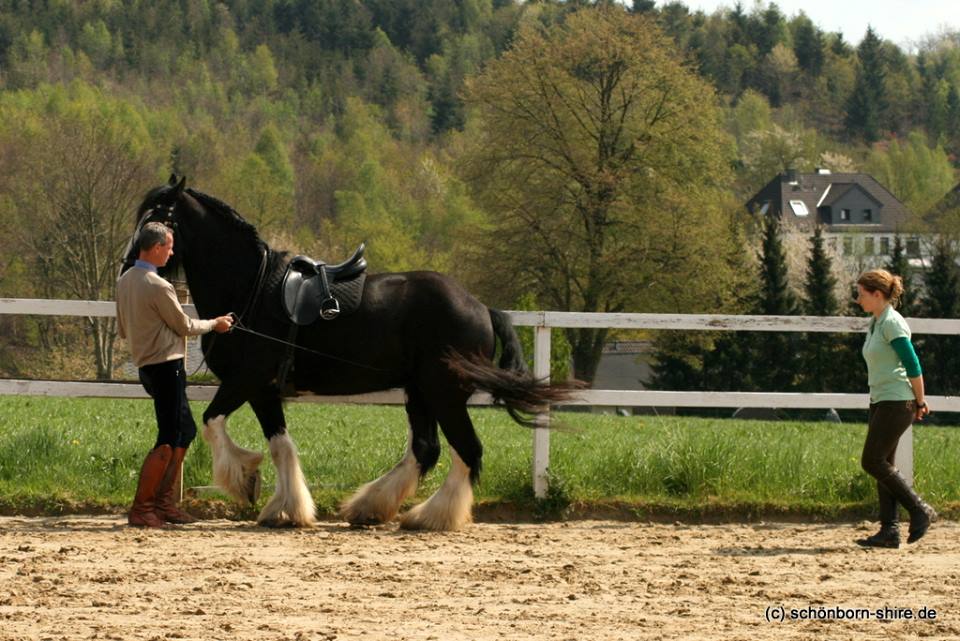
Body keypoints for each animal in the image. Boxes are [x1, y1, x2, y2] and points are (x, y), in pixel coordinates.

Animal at [128, 176, 572, 528]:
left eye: (157, 218)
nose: (130, 262)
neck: (250, 288)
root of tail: (480, 307)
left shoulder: (245, 381)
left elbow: (211, 422)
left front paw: (244, 480)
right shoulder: (264, 391)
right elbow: (279, 444)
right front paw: (286, 509)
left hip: (444, 394)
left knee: (466, 451)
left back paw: (433, 516)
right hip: (420, 392)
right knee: (425, 450)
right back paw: (372, 507)